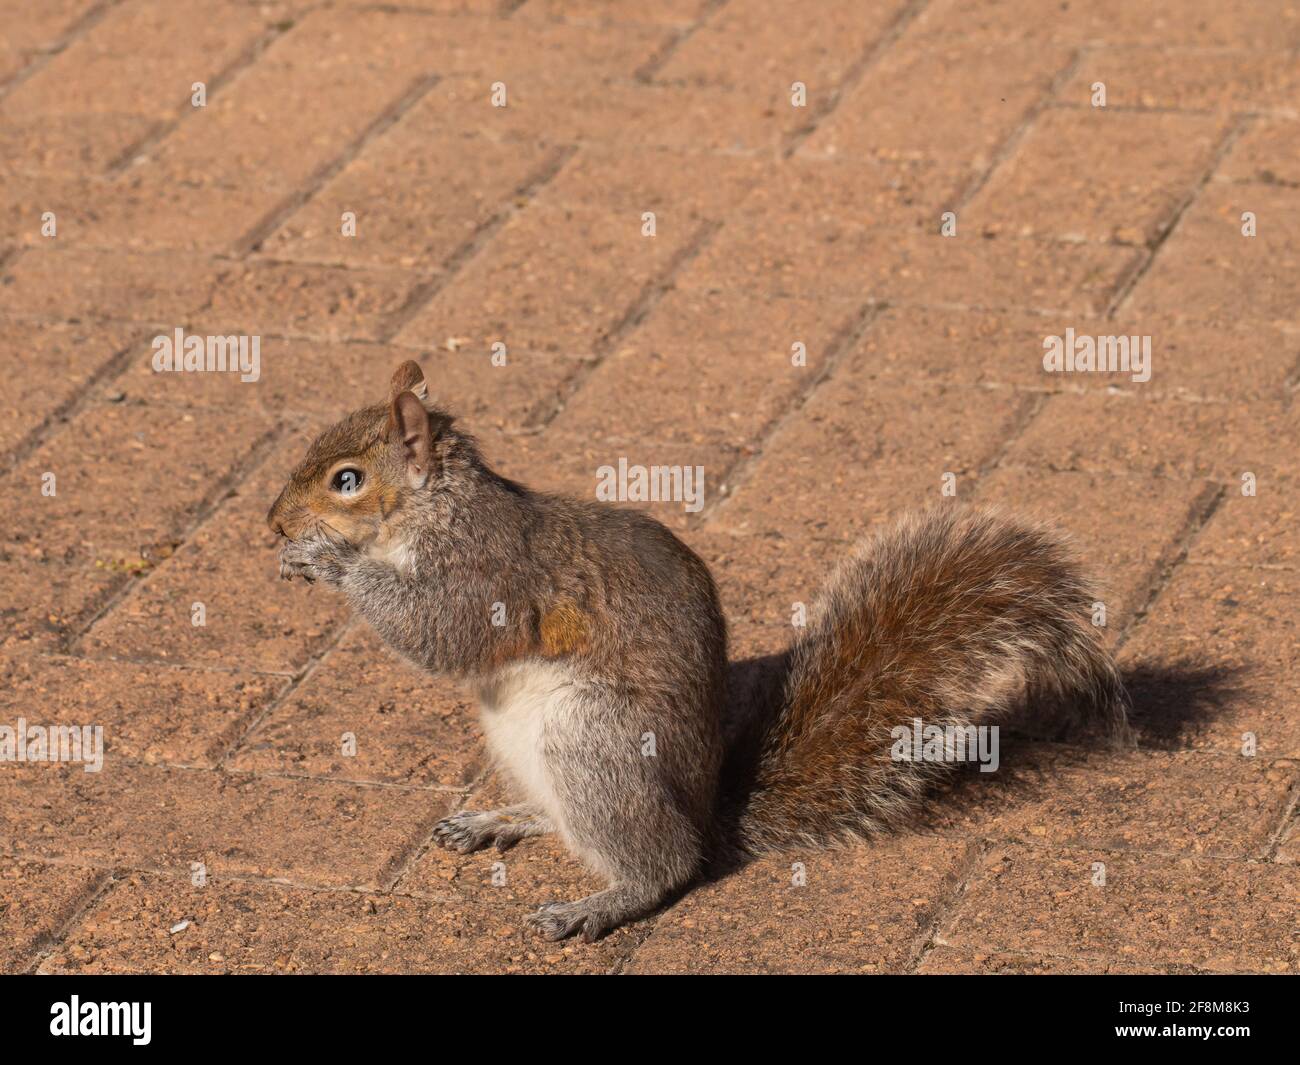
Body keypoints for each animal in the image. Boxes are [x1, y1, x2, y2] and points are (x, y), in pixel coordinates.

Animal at [263, 364, 1128, 941]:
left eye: (347, 480)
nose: (272, 522)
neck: (433, 510)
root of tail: (708, 811)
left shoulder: (490, 574)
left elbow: (445, 631)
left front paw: (330, 562)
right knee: (569, 820)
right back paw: (501, 819)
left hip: (594, 738)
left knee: (665, 863)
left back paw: (599, 904)